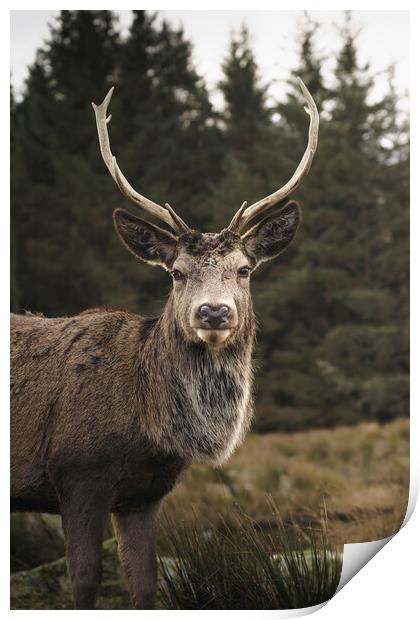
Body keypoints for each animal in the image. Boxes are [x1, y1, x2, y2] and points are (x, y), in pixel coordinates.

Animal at [9, 77, 318, 612]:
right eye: (176, 272)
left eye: (245, 268)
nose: (214, 312)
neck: (148, 428)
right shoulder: (78, 474)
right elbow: (84, 582)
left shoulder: (144, 494)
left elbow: (145, 586)